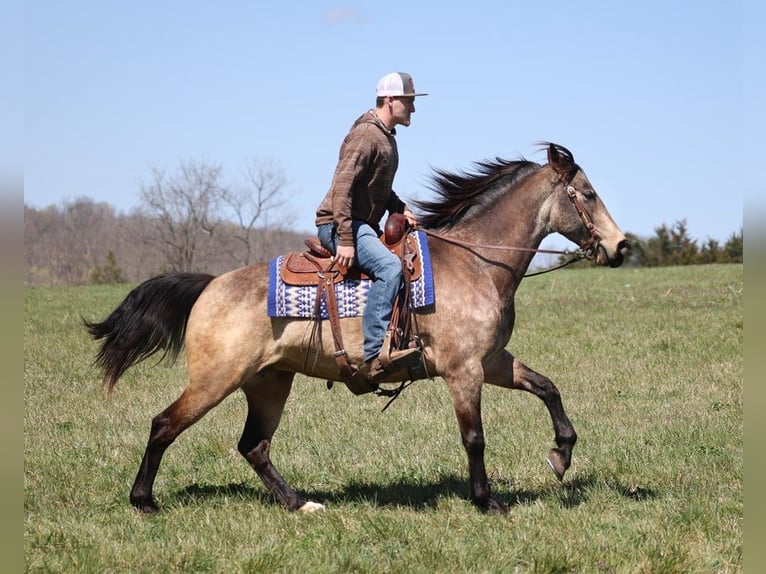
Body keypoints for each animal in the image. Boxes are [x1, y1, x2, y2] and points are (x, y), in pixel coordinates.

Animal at [87, 142, 632, 516]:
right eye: (587, 194)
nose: (621, 246)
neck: (476, 262)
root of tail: (210, 285)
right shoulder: (464, 371)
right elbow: (474, 437)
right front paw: (487, 500)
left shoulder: (493, 361)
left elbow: (548, 388)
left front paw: (561, 455)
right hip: (215, 380)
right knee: (165, 425)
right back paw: (144, 500)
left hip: (268, 383)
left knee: (254, 446)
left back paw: (299, 503)